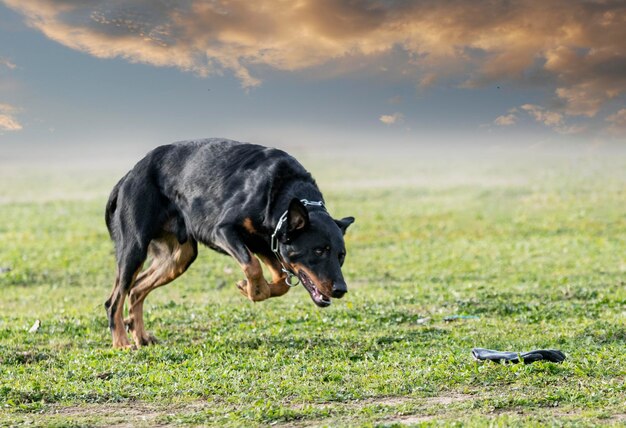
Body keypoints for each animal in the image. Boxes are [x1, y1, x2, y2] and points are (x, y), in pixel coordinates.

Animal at [105, 140, 354, 348]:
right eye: (319, 251)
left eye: (341, 256)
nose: (341, 290)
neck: (280, 193)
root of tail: (128, 176)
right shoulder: (223, 230)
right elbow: (253, 266)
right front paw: (252, 289)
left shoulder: (264, 243)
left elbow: (279, 280)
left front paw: (256, 289)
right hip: (134, 250)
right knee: (114, 300)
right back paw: (122, 343)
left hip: (179, 258)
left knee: (136, 289)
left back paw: (140, 336)